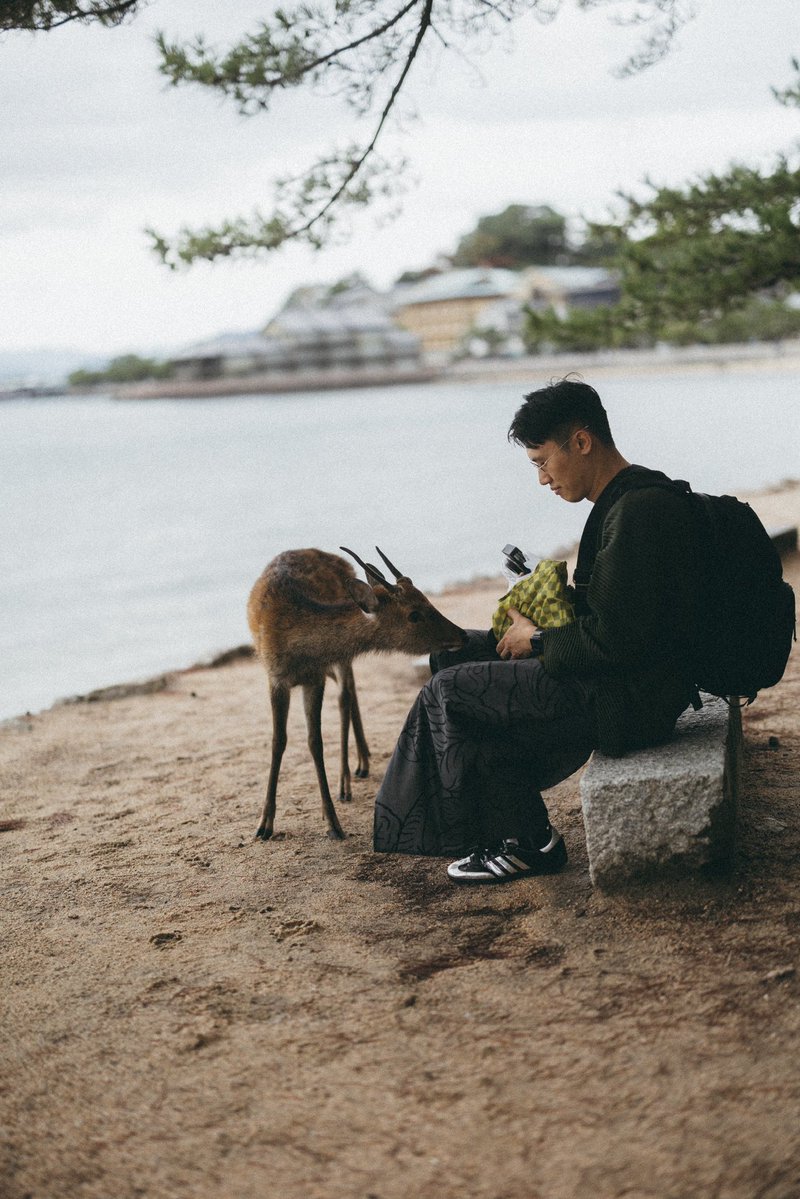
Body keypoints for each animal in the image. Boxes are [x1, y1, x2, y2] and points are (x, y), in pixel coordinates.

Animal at [247, 545, 467, 841]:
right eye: (414, 614)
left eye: (427, 600)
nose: (462, 634)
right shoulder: (276, 678)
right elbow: (278, 741)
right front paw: (264, 825)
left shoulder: (315, 677)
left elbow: (315, 741)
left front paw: (333, 824)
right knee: (348, 695)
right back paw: (358, 766)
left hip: (342, 659)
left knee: (347, 695)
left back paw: (351, 775)